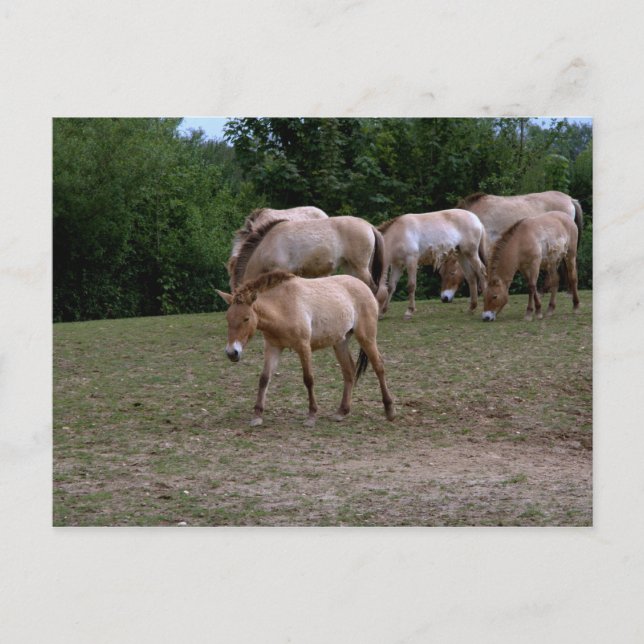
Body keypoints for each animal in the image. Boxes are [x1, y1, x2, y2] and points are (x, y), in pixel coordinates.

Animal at [216, 270, 396, 426]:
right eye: (227, 318)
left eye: (246, 318)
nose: (232, 353)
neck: (283, 305)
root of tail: (364, 286)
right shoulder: (273, 347)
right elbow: (264, 378)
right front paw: (257, 415)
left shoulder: (303, 347)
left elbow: (308, 379)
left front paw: (311, 415)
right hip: (340, 342)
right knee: (349, 371)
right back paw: (342, 411)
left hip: (366, 337)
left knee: (379, 366)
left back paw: (389, 411)